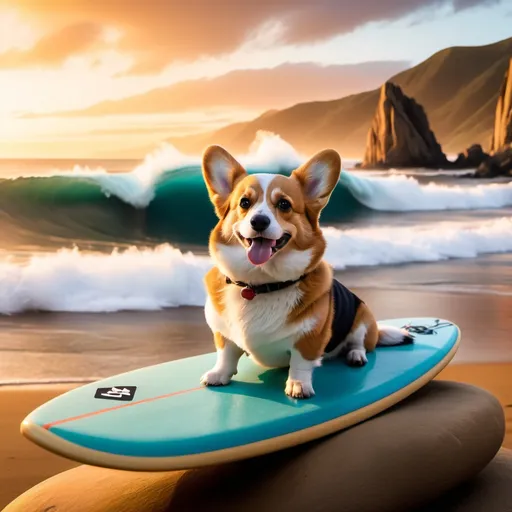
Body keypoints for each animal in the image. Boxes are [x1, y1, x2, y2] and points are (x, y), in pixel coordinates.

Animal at [200, 146, 412, 398]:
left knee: (359, 342)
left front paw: (298, 385)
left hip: (362, 315)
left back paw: (355, 355)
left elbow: (300, 363)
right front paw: (219, 374)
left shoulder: (309, 337)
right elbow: (226, 354)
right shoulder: (222, 333)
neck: (260, 284)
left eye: (284, 204)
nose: (259, 221)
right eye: (244, 202)